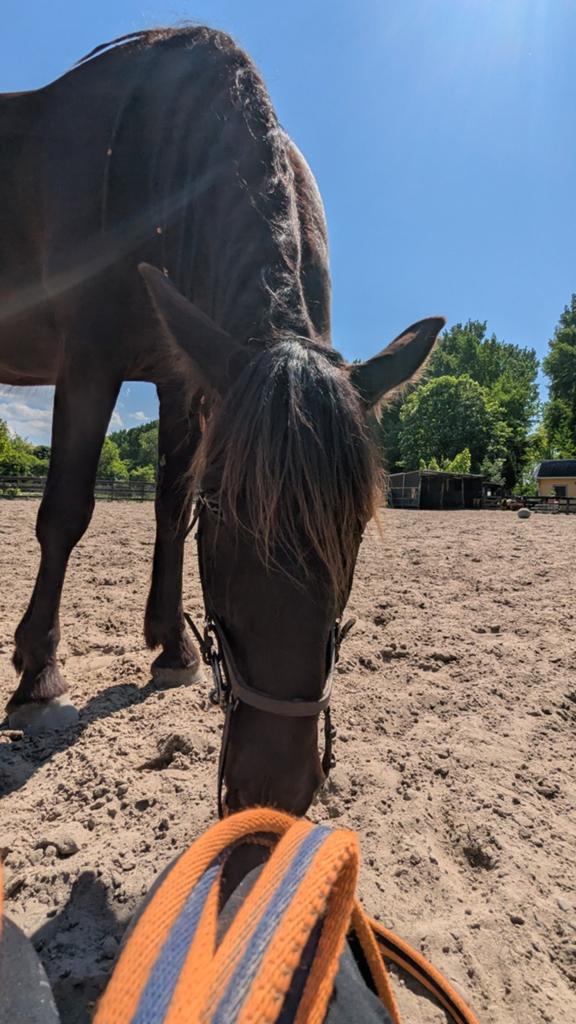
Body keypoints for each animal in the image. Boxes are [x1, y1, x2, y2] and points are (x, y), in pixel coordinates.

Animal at [0, 27, 444, 814]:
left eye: (358, 522)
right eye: (224, 509)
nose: (272, 790)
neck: (151, 159)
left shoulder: (182, 376)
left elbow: (167, 510)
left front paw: (171, 648)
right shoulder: (88, 362)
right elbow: (66, 512)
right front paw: (39, 678)